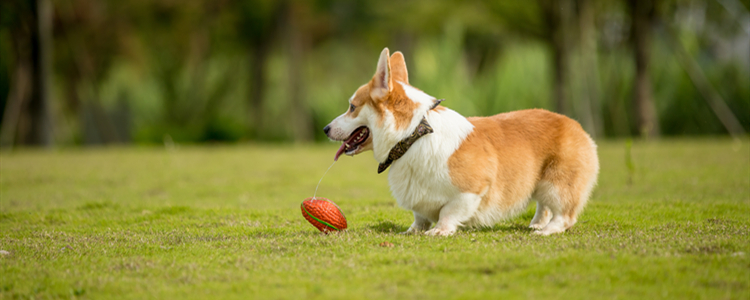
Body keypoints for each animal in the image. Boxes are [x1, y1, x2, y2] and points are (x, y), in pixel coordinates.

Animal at [324, 48, 600, 236]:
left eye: (352, 107)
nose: (325, 129)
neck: (413, 135)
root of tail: (576, 126)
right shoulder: (419, 200)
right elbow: (419, 216)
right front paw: (413, 231)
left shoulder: (473, 189)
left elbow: (448, 211)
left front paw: (439, 230)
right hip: (541, 185)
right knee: (543, 206)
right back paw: (536, 224)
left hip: (557, 185)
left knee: (565, 215)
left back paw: (546, 231)